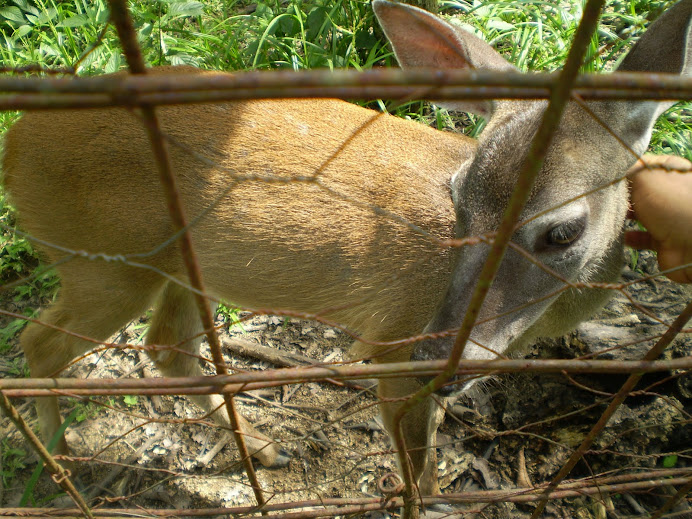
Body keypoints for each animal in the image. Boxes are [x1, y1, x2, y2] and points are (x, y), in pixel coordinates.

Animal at [4, 0, 692, 512]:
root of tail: (14, 144)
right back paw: (59, 459)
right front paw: (432, 498)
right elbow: (416, 467)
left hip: (172, 266)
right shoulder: (393, 344)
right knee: (40, 342)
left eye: (562, 232)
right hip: (103, 258)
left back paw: (263, 449)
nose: (439, 351)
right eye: (458, 199)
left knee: (166, 348)